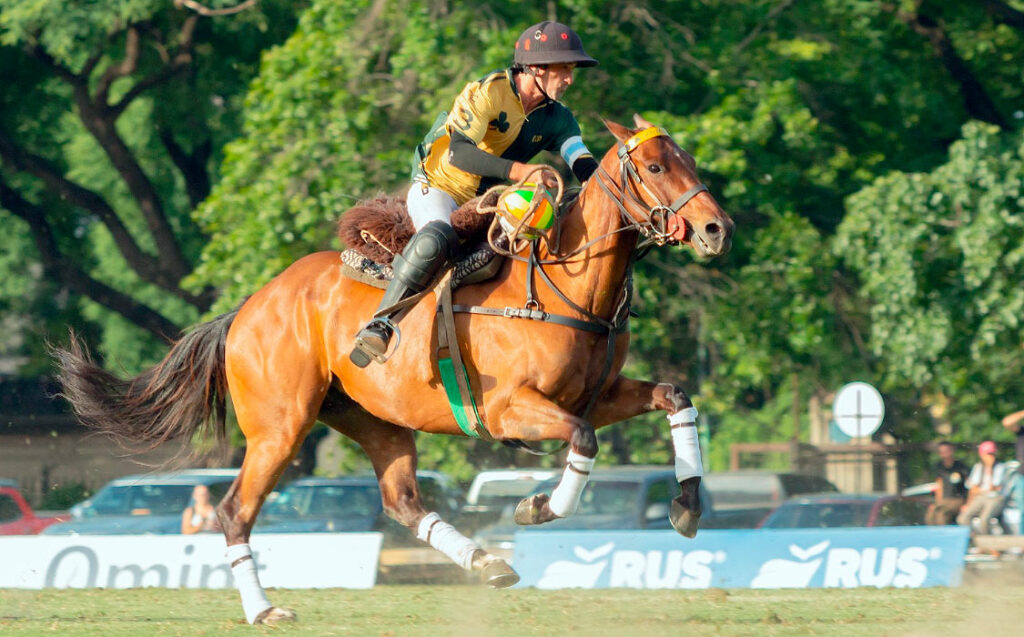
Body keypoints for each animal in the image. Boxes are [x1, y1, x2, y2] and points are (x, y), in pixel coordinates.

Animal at [56, 113, 733, 622]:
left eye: (690, 161)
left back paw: (488, 563)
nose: (715, 228)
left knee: (403, 500)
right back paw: (265, 610)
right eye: (654, 167)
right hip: (280, 426)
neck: (566, 285)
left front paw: (687, 507)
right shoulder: (511, 408)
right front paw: (537, 508)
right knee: (233, 511)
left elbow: (676, 398)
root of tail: (247, 308)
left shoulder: (600, 393)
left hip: (375, 419)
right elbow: (583, 441)